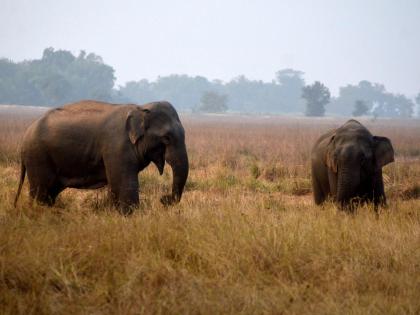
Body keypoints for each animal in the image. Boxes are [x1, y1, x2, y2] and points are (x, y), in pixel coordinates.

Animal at [13, 101, 189, 215]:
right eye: (166, 138)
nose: (164, 199)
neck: (141, 108)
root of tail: (23, 138)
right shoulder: (117, 146)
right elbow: (124, 184)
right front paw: (129, 217)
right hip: (38, 157)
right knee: (41, 192)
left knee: (50, 192)